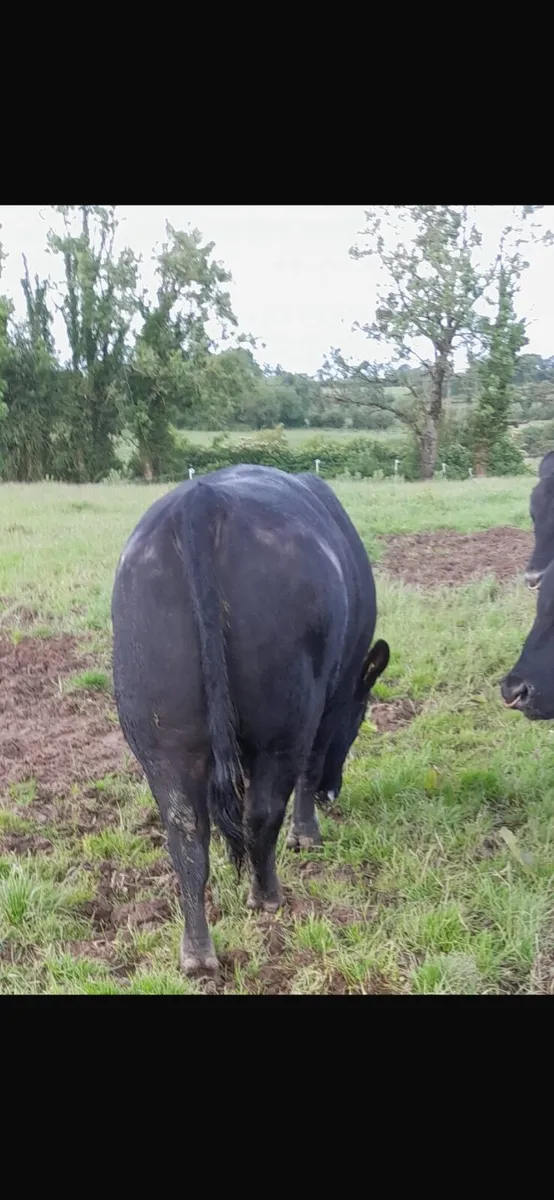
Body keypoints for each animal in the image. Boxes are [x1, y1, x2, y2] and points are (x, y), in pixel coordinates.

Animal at [112, 464, 389, 976]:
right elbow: (309, 769)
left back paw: (197, 952)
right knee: (263, 812)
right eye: (361, 716)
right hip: (285, 722)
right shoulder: (330, 699)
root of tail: (200, 502)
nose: (334, 793)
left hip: (161, 736)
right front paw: (308, 834)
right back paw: (267, 896)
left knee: (186, 834)